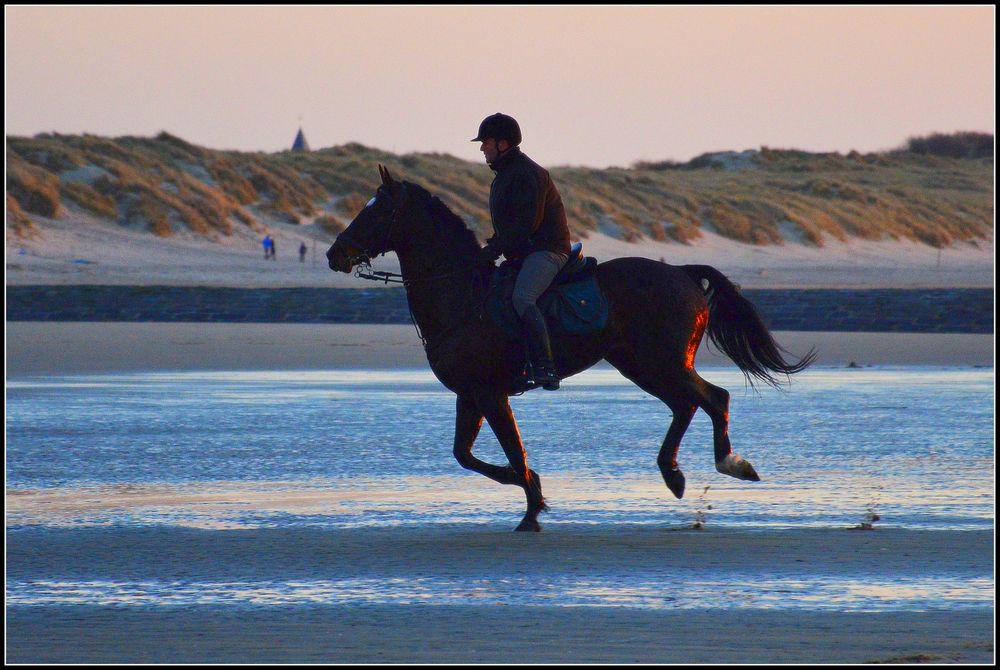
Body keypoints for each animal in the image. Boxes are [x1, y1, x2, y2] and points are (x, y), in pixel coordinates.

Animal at [328, 165, 812, 532]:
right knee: (687, 405)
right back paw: (673, 474)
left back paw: (729, 463)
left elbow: (512, 450)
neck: (463, 296)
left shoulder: (490, 393)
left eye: (376, 211)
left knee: (714, 398)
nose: (335, 255)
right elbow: (465, 455)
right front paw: (532, 489)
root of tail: (682, 273)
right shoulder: (471, 394)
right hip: (640, 365)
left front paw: (531, 510)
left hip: (663, 362)